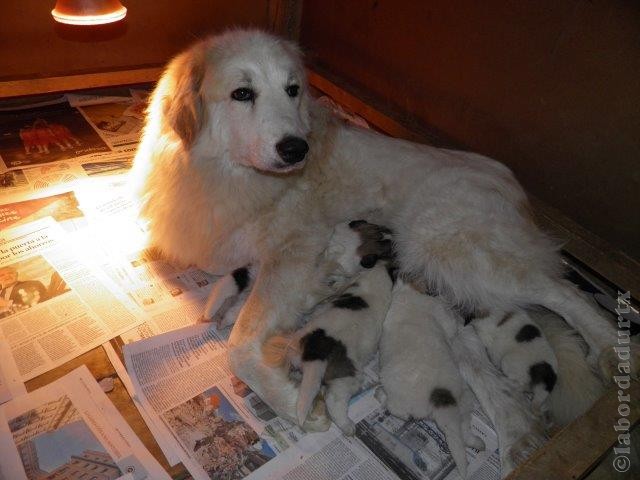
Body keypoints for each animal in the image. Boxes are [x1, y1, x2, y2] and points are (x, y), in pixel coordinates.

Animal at [376, 280, 484, 478]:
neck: (416, 293)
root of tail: (442, 401)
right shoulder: (444, 318)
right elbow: (451, 327)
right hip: (465, 404)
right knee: (464, 432)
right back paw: (478, 443)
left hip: (396, 392)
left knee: (398, 410)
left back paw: (380, 394)